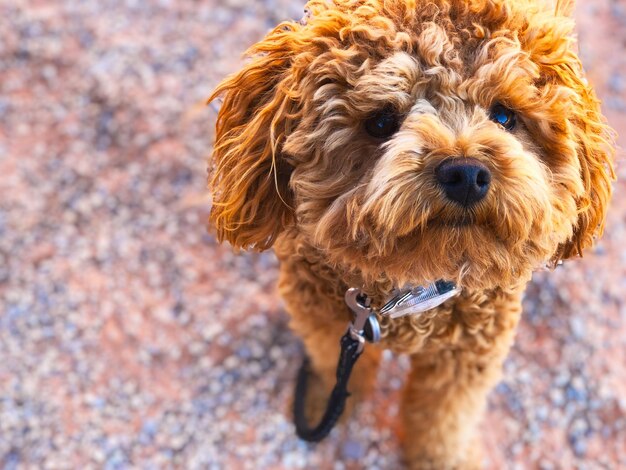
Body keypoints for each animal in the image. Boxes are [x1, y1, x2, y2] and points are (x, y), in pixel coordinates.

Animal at [207, 0, 612, 466]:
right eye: (381, 122)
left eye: (505, 115)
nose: (466, 173)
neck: (409, 290)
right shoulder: (325, 319)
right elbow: (334, 367)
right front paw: (327, 403)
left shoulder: (467, 355)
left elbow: (443, 419)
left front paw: (443, 459)